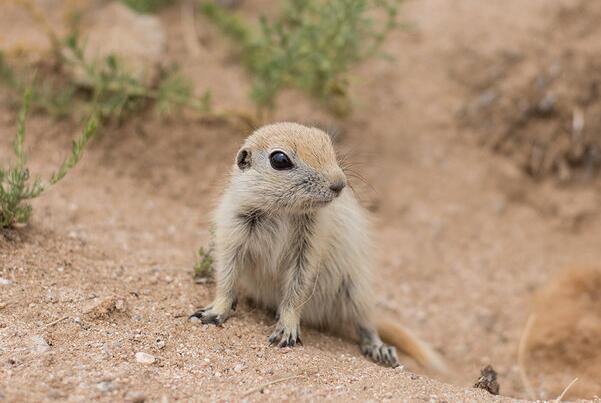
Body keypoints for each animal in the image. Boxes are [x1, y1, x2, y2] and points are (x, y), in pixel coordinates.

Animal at [191, 123, 446, 372]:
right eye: (279, 159)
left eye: (328, 144)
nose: (340, 184)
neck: (283, 213)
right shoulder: (233, 230)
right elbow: (226, 278)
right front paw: (214, 312)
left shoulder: (309, 247)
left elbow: (297, 288)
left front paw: (287, 329)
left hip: (357, 291)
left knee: (366, 324)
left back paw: (380, 349)